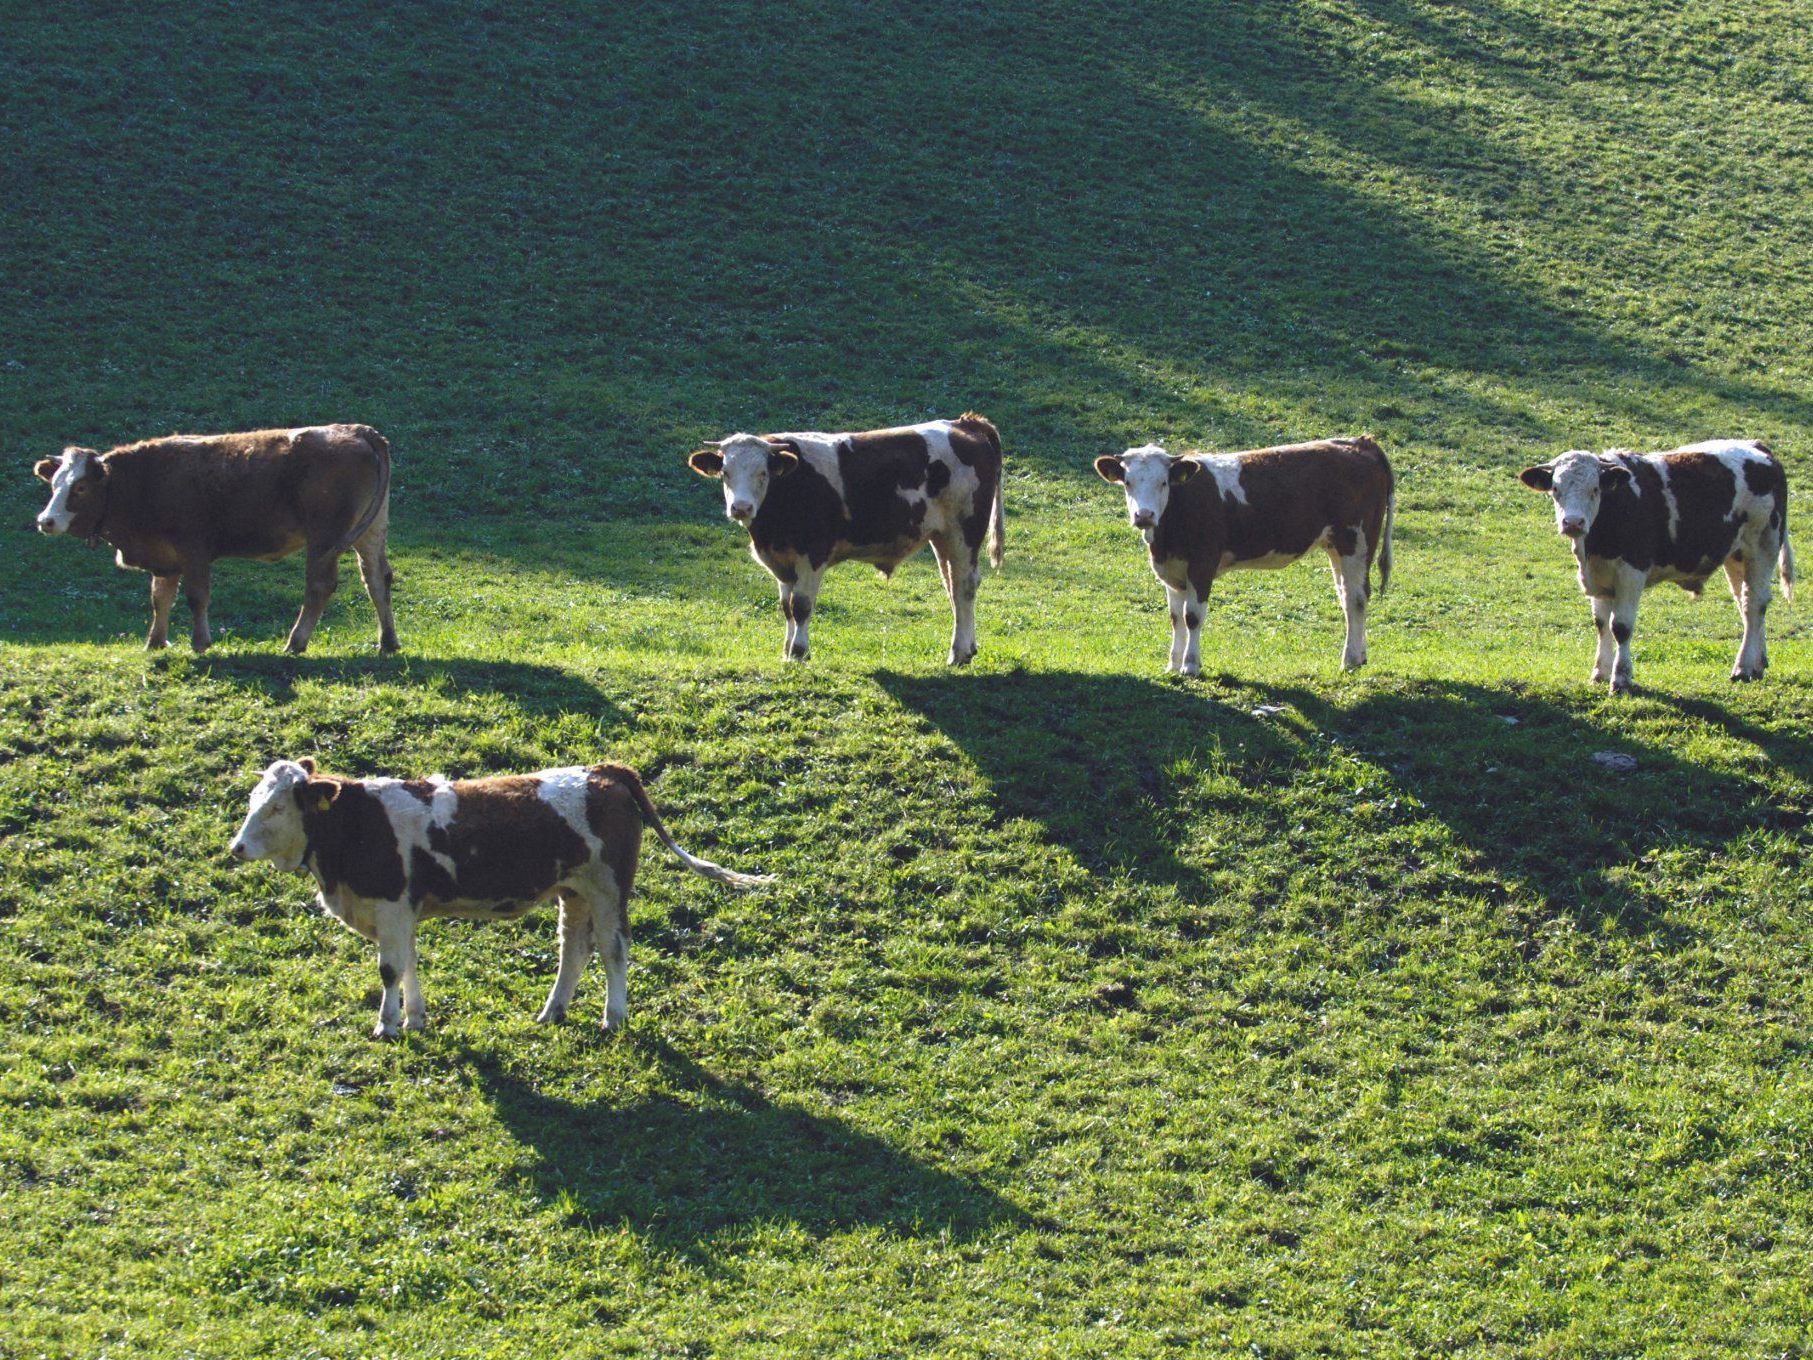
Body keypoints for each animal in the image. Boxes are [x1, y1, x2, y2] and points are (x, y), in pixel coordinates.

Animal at [31, 426, 400, 660]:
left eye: (80, 488)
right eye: (54, 483)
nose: (45, 521)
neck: (144, 480)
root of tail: (358, 430)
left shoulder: (194, 550)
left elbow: (196, 597)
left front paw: (199, 643)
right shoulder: (165, 557)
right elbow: (160, 598)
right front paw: (155, 642)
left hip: (324, 540)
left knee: (320, 586)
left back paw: (295, 642)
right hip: (370, 534)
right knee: (376, 580)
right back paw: (388, 642)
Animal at [230, 761, 768, 1037]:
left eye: (277, 807)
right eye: (254, 800)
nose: (237, 847)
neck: (357, 825)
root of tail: (604, 771)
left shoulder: (390, 906)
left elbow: (389, 970)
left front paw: (388, 1026)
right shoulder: (401, 913)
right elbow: (408, 965)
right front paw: (416, 1018)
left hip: (608, 887)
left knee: (614, 950)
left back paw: (613, 1017)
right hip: (574, 891)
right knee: (574, 950)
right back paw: (553, 1011)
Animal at [688, 415, 1008, 670]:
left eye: (762, 473)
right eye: (725, 473)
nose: (741, 508)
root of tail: (965, 423)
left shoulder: (812, 554)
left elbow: (801, 605)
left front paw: (799, 653)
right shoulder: (781, 560)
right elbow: (786, 607)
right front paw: (787, 652)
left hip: (964, 532)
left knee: (965, 586)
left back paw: (959, 654)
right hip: (942, 537)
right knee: (953, 586)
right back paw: (967, 648)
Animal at [1087, 437, 1399, 678]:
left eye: (1163, 482)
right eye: (1127, 482)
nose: (1144, 515)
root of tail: (1361, 442)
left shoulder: (1202, 563)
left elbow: (1192, 616)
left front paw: (1190, 665)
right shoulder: (1171, 570)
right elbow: (1176, 618)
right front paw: (1172, 666)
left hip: (1357, 541)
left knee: (1356, 597)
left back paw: (1349, 661)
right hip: (1336, 545)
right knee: (1346, 596)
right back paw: (1359, 656)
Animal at [1515, 438, 1798, 692]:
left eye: (1595, 489)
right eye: (1556, 489)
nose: (1573, 522)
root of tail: (1758, 447)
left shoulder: (1632, 570)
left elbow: (1621, 626)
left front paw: (1621, 679)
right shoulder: (1598, 575)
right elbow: (1601, 624)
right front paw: (1600, 673)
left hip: (1763, 547)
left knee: (1754, 605)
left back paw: (1742, 668)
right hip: (1737, 556)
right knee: (1748, 603)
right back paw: (1757, 664)